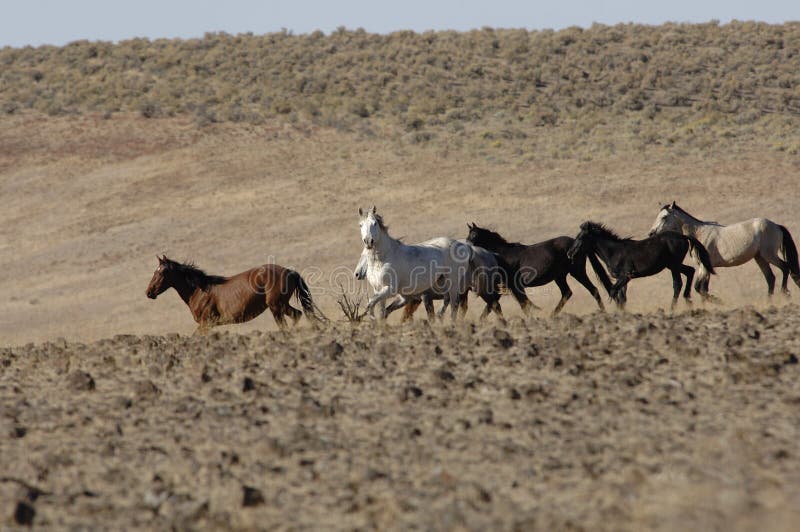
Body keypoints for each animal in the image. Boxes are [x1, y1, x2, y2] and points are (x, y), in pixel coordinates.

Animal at [145, 255, 325, 333]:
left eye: (162, 272)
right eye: (155, 271)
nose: (149, 292)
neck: (198, 290)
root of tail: (288, 271)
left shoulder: (205, 323)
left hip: (276, 306)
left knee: (291, 319)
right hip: (280, 306)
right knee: (297, 314)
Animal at [466, 223, 612, 316]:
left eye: (474, 235)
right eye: (468, 235)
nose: (466, 247)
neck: (503, 255)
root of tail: (576, 245)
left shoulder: (514, 285)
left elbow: (523, 304)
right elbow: (494, 305)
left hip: (577, 272)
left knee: (593, 290)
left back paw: (604, 313)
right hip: (560, 277)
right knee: (567, 293)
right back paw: (552, 316)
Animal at [566, 221, 716, 310]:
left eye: (580, 237)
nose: (569, 254)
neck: (614, 252)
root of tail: (684, 237)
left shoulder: (626, 276)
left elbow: (614, 292)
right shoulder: (622, 279)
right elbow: (622, 297)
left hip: (674, 265)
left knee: (677, 283)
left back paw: (673, 309)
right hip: (673, 265)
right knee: (690, 271)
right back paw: (688, 300)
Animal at [649, 201, 800, 298]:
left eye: (664, 217)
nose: (651, 233)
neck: (699, 234)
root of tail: (776, 226)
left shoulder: (704, 267)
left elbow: (700, 288)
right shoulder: (705, 267)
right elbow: (702, 288)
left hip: (769, 255)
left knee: (785, 268)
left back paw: (785, 292)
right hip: (760, 258)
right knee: (770, 278)